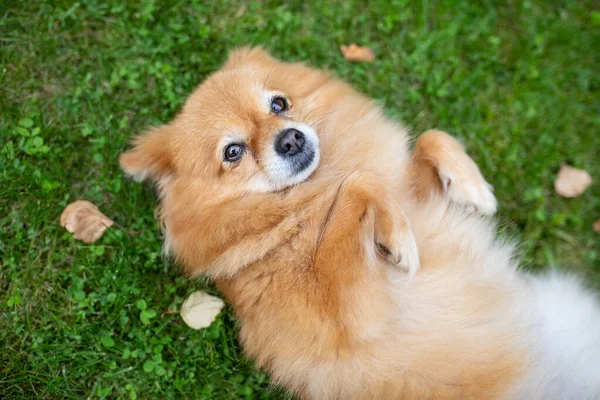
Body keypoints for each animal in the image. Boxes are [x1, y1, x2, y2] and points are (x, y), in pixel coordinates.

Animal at [120, 47, 600, 400]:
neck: (308, 191)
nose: (290, 138)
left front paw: (472, 186)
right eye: (233, 152)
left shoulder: (412, 193)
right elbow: (357, 184)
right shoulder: (357, 318)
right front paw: (398, 239)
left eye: (279, 103)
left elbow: (430, 137)